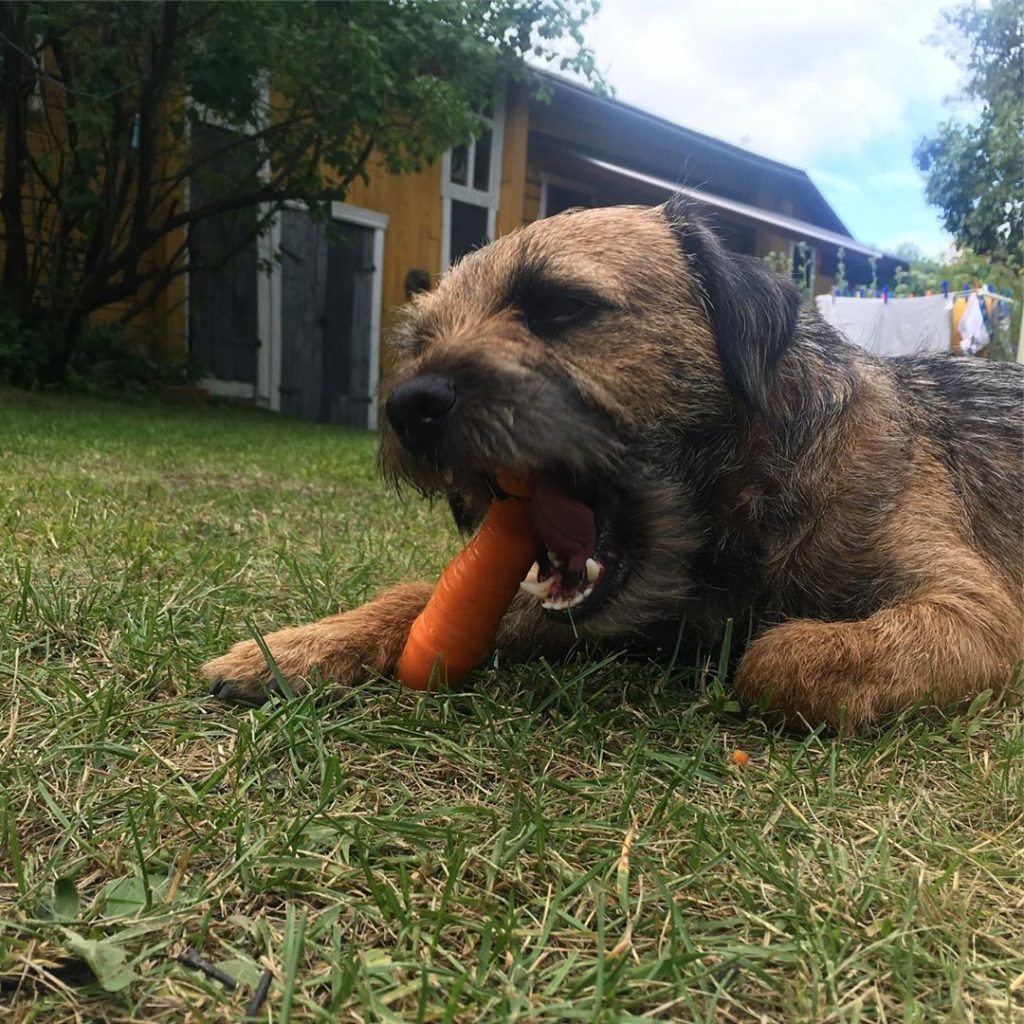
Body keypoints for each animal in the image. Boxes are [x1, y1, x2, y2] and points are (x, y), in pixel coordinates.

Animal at [201, 197, 1024, 729]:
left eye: (560, 305)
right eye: (420, 339)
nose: (408, 404)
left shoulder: (975, 615)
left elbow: (778, 657)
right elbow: (417, 593)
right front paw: (296, 646)